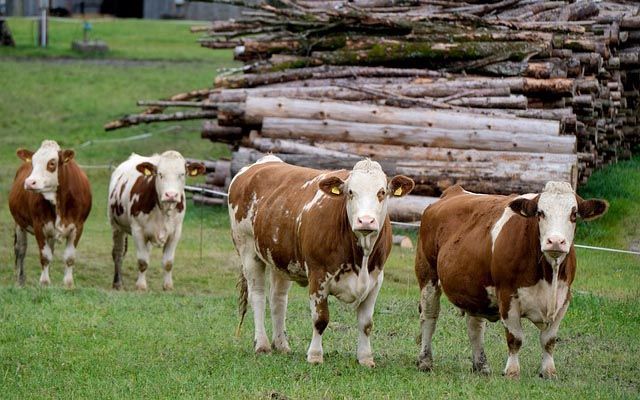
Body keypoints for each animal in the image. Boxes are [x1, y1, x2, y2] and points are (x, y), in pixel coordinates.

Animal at [8, 141, 92, 288]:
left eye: (52, 163)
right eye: (33, 162)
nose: (29, 182)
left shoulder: (78, 226)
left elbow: (69, 257)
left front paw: (68, 284)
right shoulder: (39, 226)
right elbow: (45, 256)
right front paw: (44, 282)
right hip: (19, 223)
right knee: (20, 250)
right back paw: (19, 280)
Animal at [106, 152, 204, 290]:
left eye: (182, 174)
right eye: (160, 174)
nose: (171, 195)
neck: (163, 210)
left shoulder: (176, 232)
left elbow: (168, 262)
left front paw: (167, 286)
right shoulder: (137, 230)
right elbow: (142, 261)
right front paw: (141, 286)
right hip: (116, 226)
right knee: (118, 253)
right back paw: (117, 283)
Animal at [229, 156, 416, 366]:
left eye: (381, 192)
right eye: (350, 192)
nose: (365, 221)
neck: (361, 258)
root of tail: (264, 161)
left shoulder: (376, 280)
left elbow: (366, 323)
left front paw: (366, 358)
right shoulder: (318, 276)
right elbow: (320, 319)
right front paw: (315, 355)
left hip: (280, 259)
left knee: (278, 298)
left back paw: (281, 345)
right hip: (247, 250)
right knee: (258, 296)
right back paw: (262, 345)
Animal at [418, 181, 608, 378]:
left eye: (573, 214)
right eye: (540, 213)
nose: (555, 241)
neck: (548, 277)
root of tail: (453, 191)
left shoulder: (564, 299)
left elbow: (549, 340)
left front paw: (548, 371)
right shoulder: (507, 296)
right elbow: (515, 338)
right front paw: (512, 371)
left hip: (475, 288)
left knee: (475, 327)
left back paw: (481, 365)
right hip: (427, 274)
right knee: (429, 316)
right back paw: (425, 361)